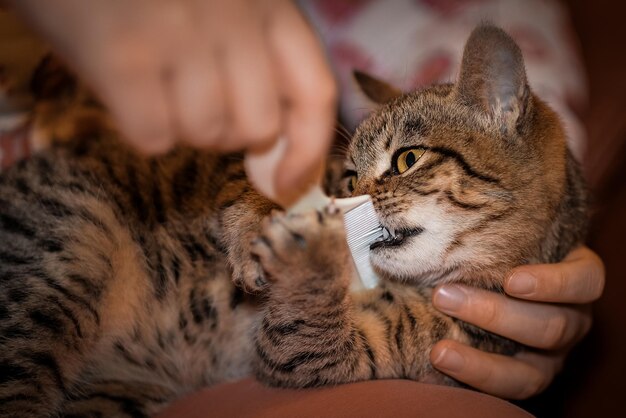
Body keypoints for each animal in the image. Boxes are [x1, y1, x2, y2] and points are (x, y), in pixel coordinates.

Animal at [0, 24, 584, 416]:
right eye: (349, 177)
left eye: (407, 160)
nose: (354, 198)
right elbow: (247, 180)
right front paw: (264, 227)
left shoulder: (340, 352)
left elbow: (307, 321)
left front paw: (309, 257)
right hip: (67, 259)